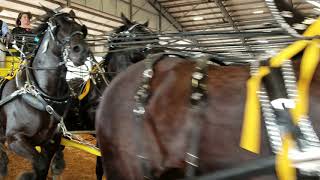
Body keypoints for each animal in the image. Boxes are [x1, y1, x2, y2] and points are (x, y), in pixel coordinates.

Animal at [0, 7, 89, 179]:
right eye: (56, 26)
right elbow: (40, 164)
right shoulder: (15, 139)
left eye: (81, 29)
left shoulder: (51, 142)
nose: (81, 51)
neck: (42, 96)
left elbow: (44, 167)